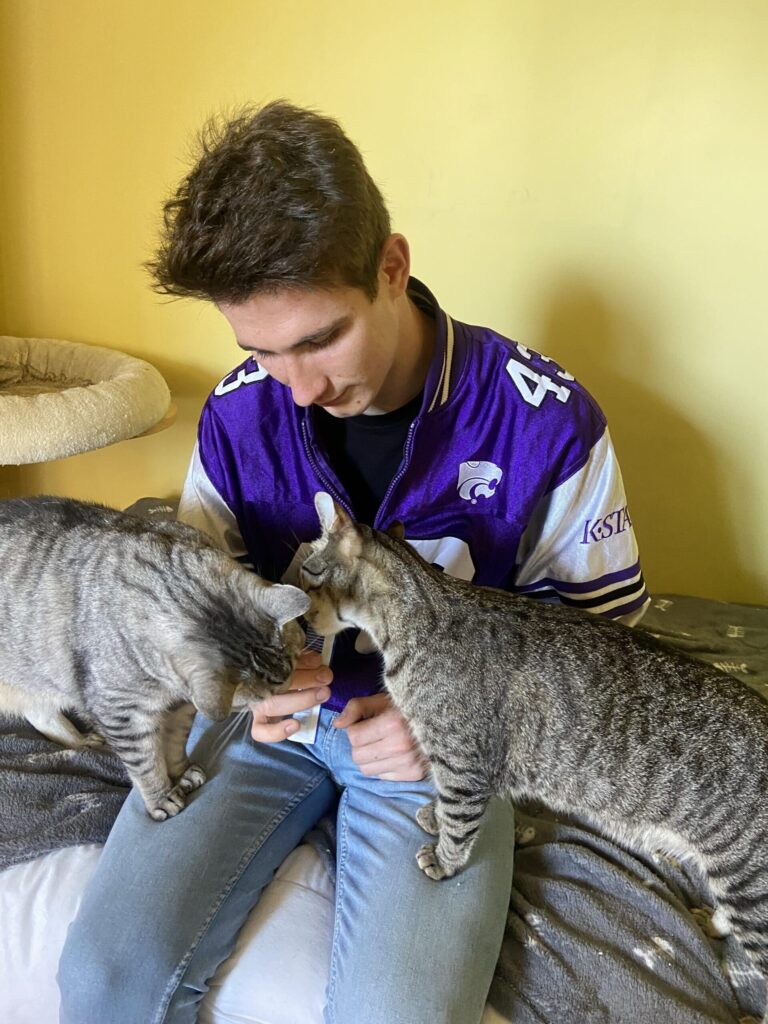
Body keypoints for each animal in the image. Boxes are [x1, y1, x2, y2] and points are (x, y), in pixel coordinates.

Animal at [2, 499, 313, 819]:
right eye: (264, 695)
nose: (284, 685)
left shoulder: (182, 704)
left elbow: (175, 742)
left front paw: (181, 772)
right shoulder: (123, 714)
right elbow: (146, 764)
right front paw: (161, 797)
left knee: (40, 714)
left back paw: (81, 741)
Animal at [303, 493, 768, 1007]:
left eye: (307, 572)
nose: (300, 617)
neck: (419, 615)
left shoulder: (464, 767)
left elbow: (459, 824)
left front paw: (444, 858)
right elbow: (442, 802)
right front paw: (433, 815)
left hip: (750, 884)